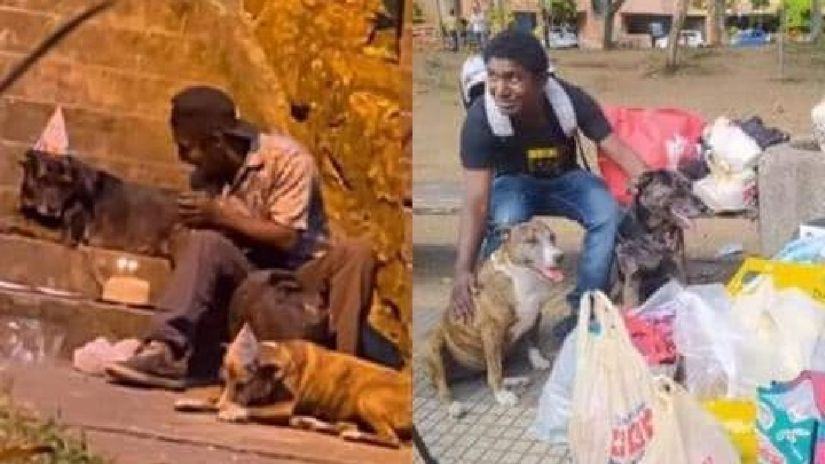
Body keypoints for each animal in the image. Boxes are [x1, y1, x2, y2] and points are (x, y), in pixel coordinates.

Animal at [172, 324, 410, 448]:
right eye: (222, 381)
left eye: (242, 385)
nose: (219, 408)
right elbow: (214, 398)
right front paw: (195, 401)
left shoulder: (284, 408)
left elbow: (251, 407)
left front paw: (233, 411)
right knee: (346, 425)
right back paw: (313, 423)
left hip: (367, 397)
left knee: (391, 439)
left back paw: (353, 435)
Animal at [422, 218, 564, 416]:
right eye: (531, 241)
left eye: (552, 237)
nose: (559, 256)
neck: (523, 277)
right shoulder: (492, 331)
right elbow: (495, 370)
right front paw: (501, 396)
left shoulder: (536, 315)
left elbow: (533, 342)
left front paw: (538, 360)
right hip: (434, 344)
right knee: (445, 386)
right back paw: (453, 405)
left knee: (489, 373)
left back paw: (515, 380)